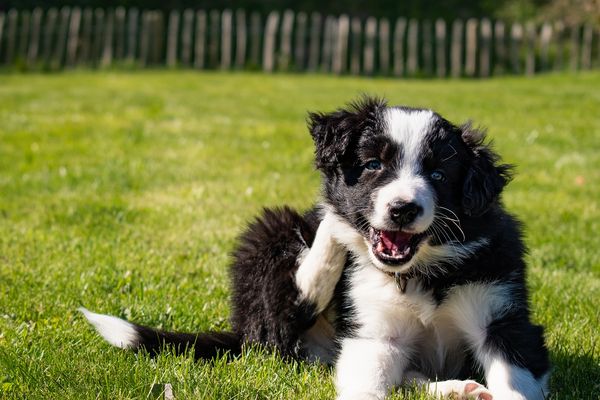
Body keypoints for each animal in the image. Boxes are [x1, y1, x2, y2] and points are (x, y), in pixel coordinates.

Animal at [82, 97, 552, 400]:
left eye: (438, 174)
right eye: (373, 165)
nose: (402, 209)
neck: (419, 273)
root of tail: (242, 330)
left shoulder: (504, 319)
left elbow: (515, 379)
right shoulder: (372, 332)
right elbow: (366, 385)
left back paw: (458, 388)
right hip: (269, 234)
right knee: (291, 306)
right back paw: (331, 229)